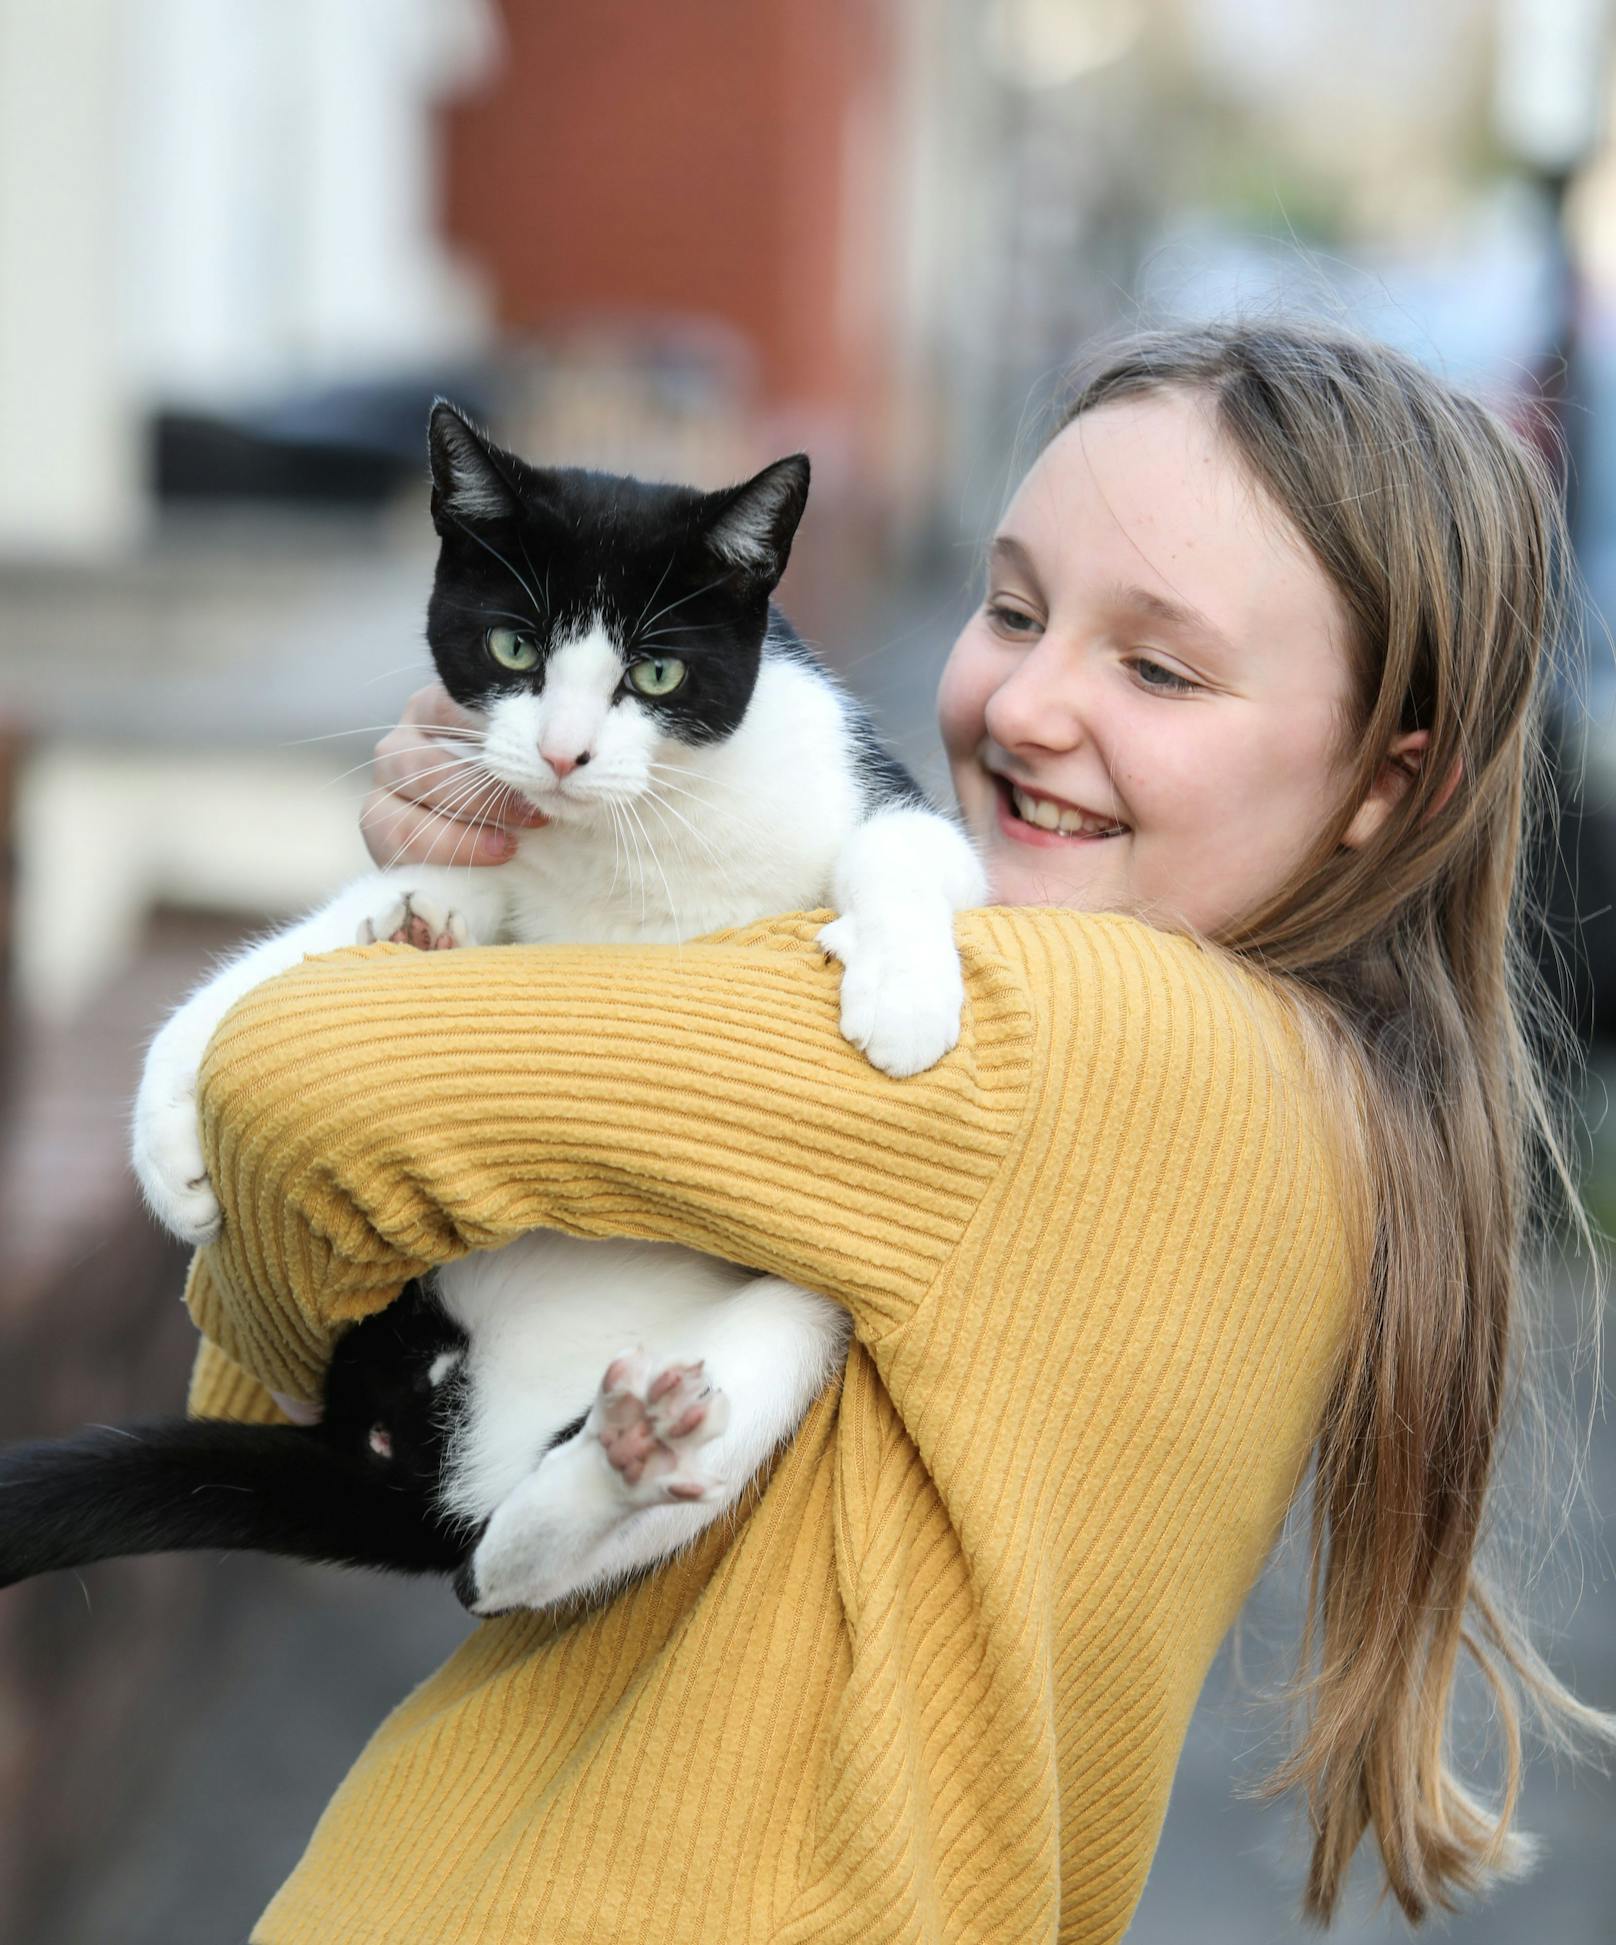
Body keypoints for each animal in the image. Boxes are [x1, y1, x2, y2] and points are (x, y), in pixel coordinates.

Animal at [0, 402, 987, 1618]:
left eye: (657, 671)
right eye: (513, 649)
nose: (562, 753)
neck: (630, 837)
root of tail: (408, 1447)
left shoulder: (867, 788)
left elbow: (906, 844)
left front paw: (902, 999)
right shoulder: (491, 851)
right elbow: (283, 966)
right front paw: (165, 1133)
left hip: (805, 1315)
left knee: (496, 1560)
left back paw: (626, 1458)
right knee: (487, 1561)